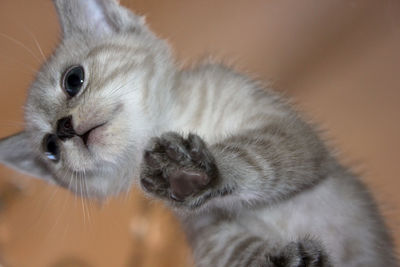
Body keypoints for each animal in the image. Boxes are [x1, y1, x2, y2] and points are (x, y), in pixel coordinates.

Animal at [0, 0, 396, 266]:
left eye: (73, 79)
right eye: (50, 148)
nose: (63, 128)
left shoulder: (288, 133)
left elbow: (254, 157)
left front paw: (198, 169)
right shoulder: (210, 233)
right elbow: (241, 252)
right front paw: (285, 257)